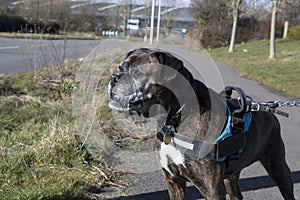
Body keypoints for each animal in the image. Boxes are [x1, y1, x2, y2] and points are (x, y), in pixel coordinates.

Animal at [106, 47, 294, 199]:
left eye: (138, 73)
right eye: (121, 68)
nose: (114, 78)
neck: (174, 121)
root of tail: (268, 108)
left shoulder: (211, 190)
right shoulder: (174, 182)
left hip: (279, 167)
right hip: (231, 175)